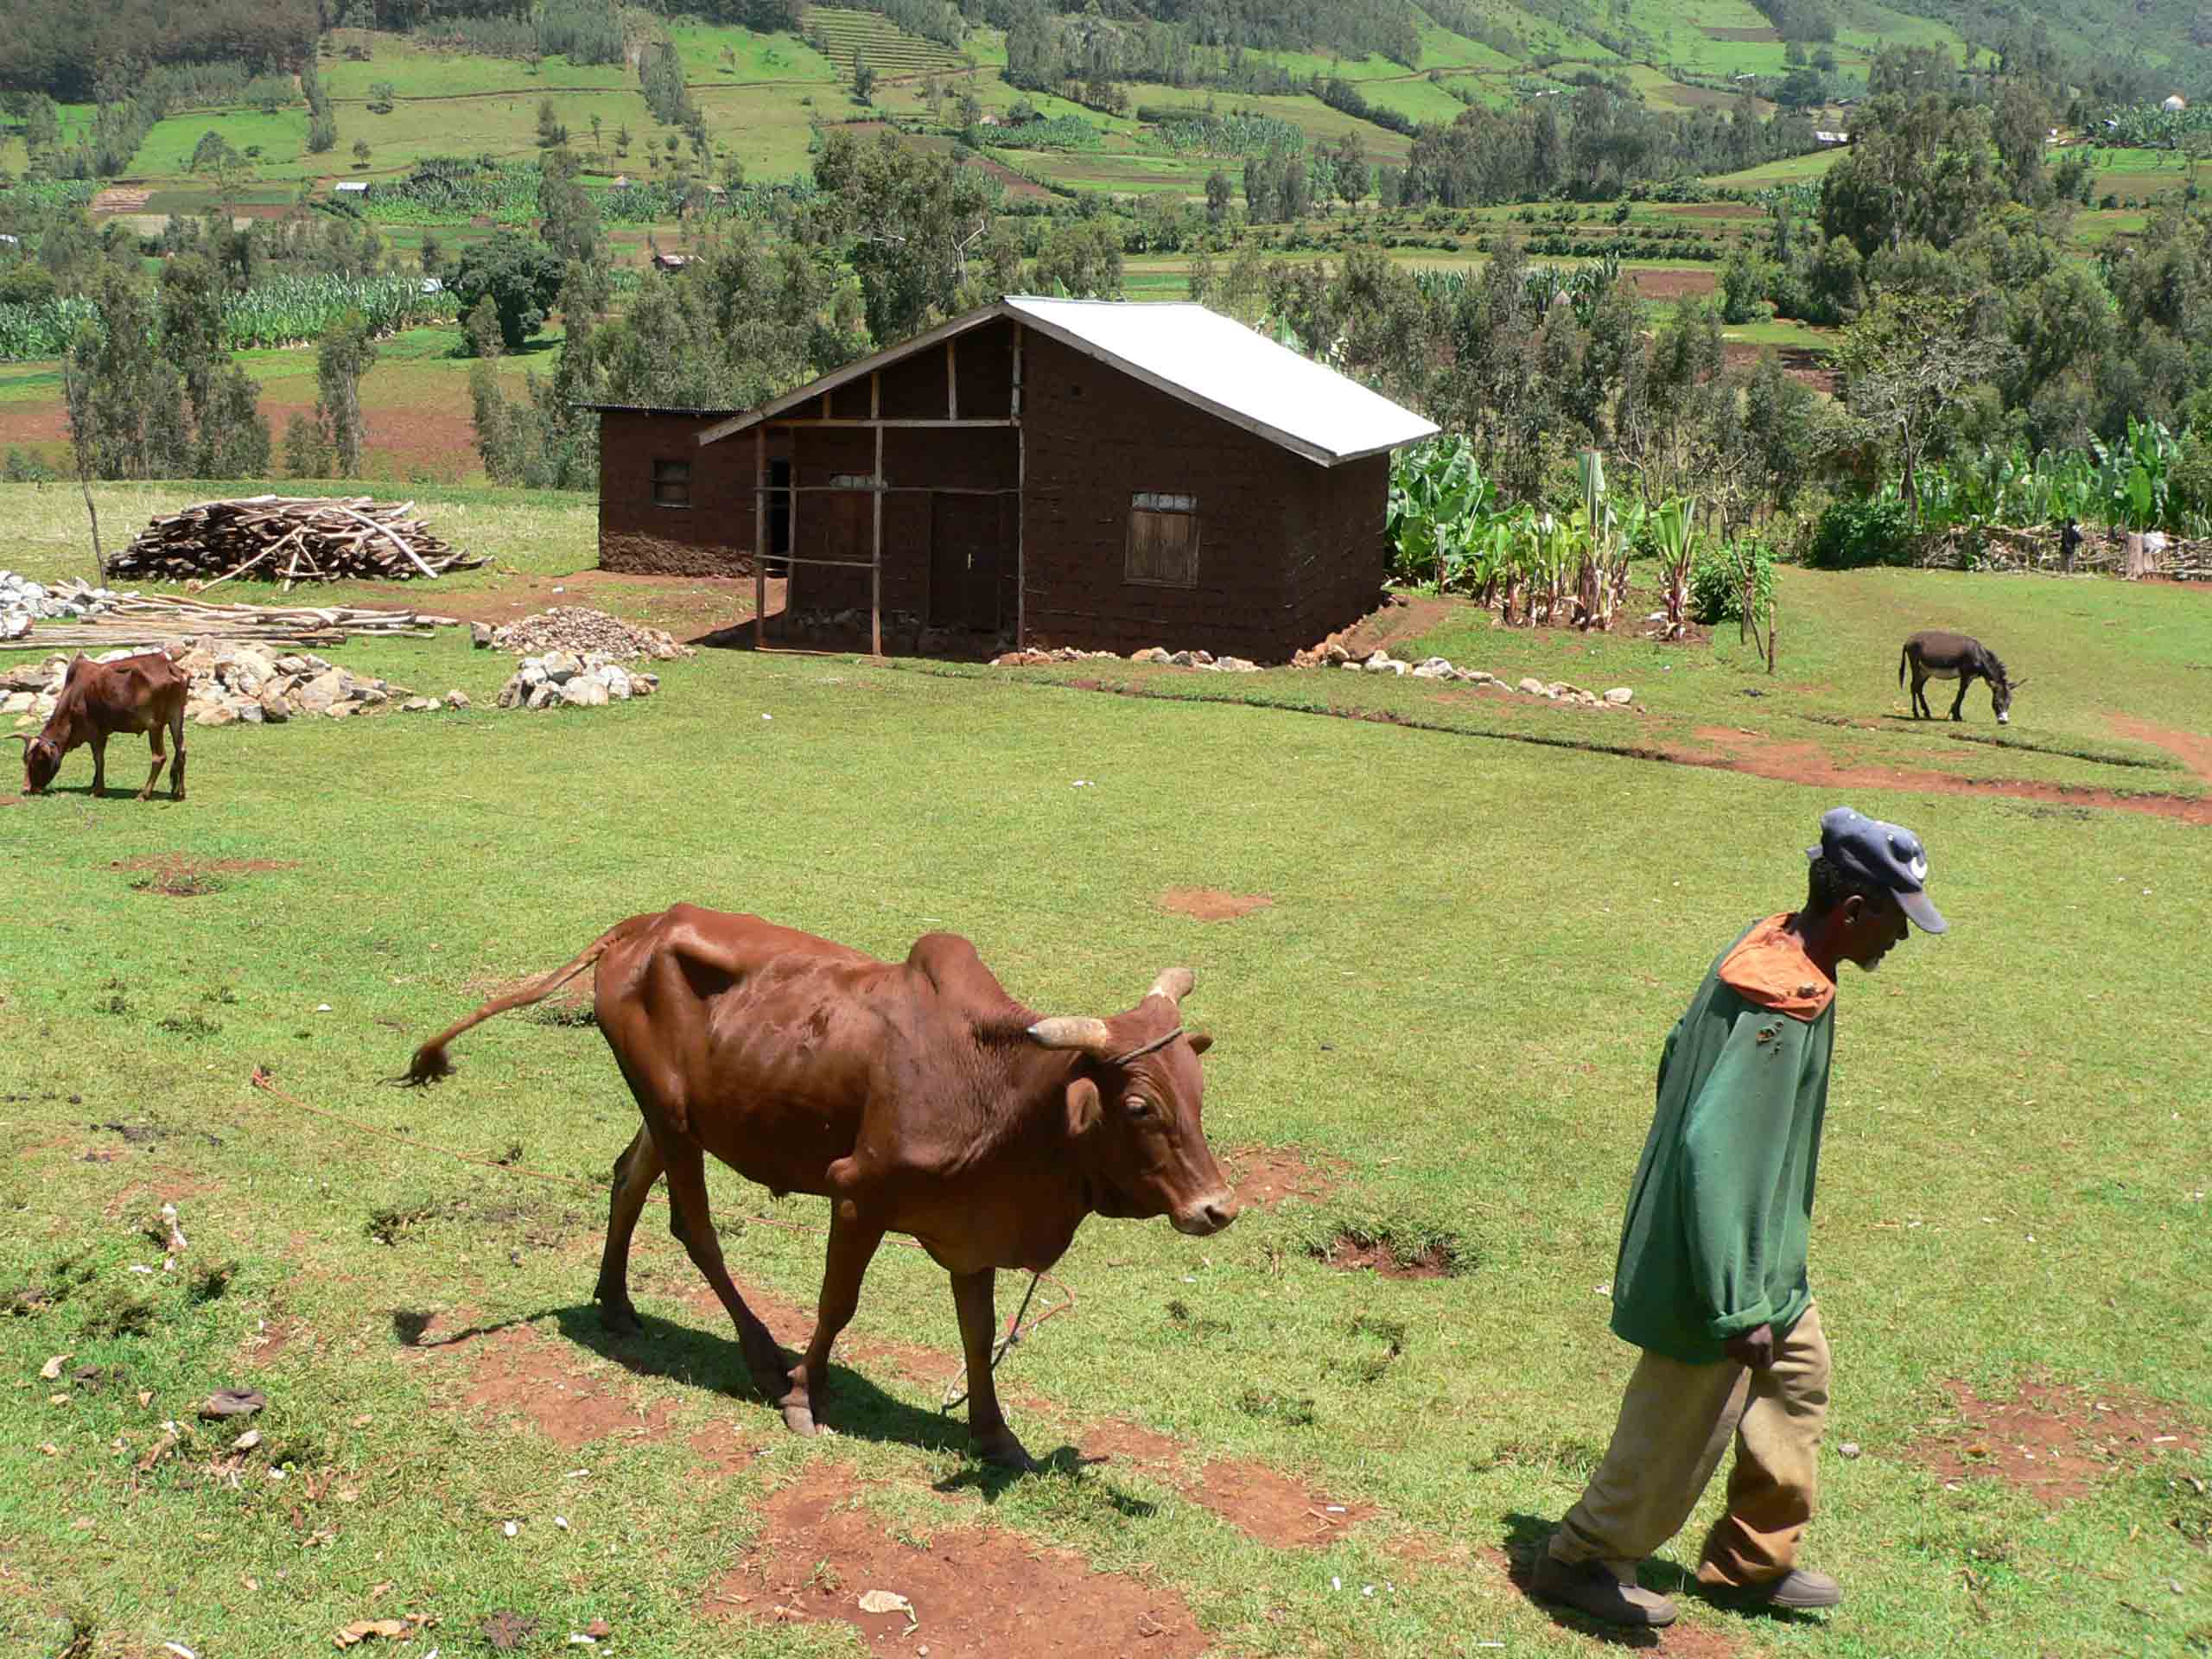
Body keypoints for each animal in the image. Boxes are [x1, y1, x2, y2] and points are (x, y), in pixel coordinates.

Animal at [13, 654, 191, 800]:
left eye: (38, 759)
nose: (26, 789)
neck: (73, 695)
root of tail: (169, 667)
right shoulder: (103, 733)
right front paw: (94, 784)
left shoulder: (95, 733)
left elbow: (99, 759)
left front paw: (97, 790)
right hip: (176, 719)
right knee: (181, 751)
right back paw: (179, 793)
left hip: (155, 726)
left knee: (159, 757)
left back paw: (144, 794)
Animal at [411, 911, 1247, 1468]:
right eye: (1139, 1105)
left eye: (1199, 1091)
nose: (1217, 1208)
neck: (1002, 1094)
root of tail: (642, 928)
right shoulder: (857, 1197)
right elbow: (837, 1305)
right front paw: (803, 1398)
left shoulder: (970, 1228)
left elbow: (978, 1333)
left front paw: (993, 1432)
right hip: (676, 1121)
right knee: (694, 1227)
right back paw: (759, 1356)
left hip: (668, 1115)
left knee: (627, 1181)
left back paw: (616, 1303)